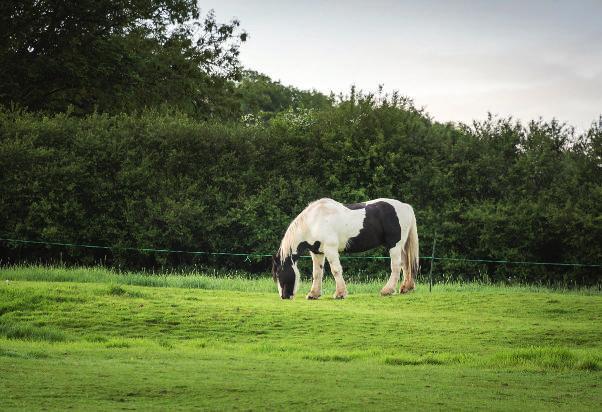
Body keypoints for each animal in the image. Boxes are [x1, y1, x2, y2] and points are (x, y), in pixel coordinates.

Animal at [272, 197, 418, 300]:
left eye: (278, 273)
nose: (284, 296)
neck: (314, 222)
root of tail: (406, 206)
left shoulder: (330, 249)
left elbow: (336, 270)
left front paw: (340, 294)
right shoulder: (317, 252)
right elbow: (317, 273)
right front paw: (313, 294)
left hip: (394, 245)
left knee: (396, 266)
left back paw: (387, 291)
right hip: (402, 246)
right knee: (406, 265)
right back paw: (406, 288)